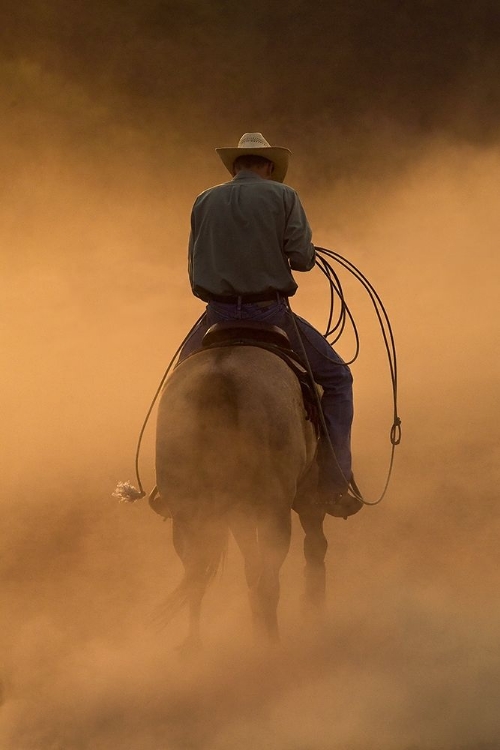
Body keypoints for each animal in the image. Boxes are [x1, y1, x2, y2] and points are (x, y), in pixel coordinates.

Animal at [154, 344, 330, 648]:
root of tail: (218, 379)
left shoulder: (238, 515)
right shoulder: (308, 491)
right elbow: (315, 545)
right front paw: (313, 603)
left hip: (190, 513)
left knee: (196, 575)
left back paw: (193, 645)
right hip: (273, 509)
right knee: (268, 578)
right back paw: (272, 644)